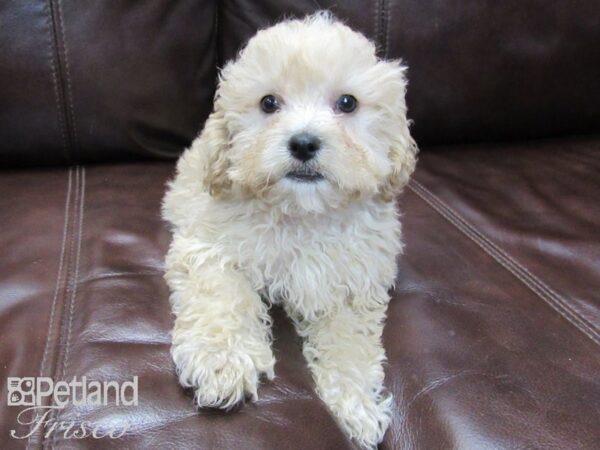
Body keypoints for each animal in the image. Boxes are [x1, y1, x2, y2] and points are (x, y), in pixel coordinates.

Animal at [162, 12, 420, 448]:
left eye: (347, 103)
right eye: (269, 103)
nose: (303, 143)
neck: (302, 212)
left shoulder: (353, 280)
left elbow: (349, 340)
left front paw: (356, 403)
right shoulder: (207, 245)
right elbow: (224, 293)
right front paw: (223, 362)